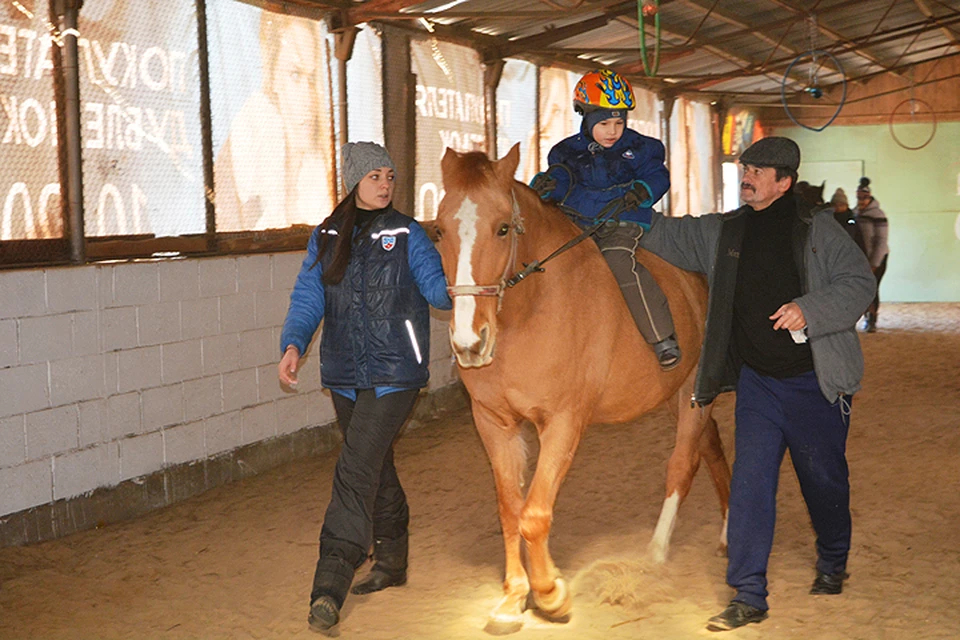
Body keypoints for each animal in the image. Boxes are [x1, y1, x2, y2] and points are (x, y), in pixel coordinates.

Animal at [432, 142, 732, 632]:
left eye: (502, 228)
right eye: (439, 230)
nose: (469, 343)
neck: (528, 312)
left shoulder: (563, 422)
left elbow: (534, 514)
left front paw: (551, 593)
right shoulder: (494, 422)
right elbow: (510, 509)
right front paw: (513, 597)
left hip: (693, 391)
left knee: (682, 465)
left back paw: (654, 554)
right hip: (681, 397)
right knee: (712, 448)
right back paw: (726, 532)